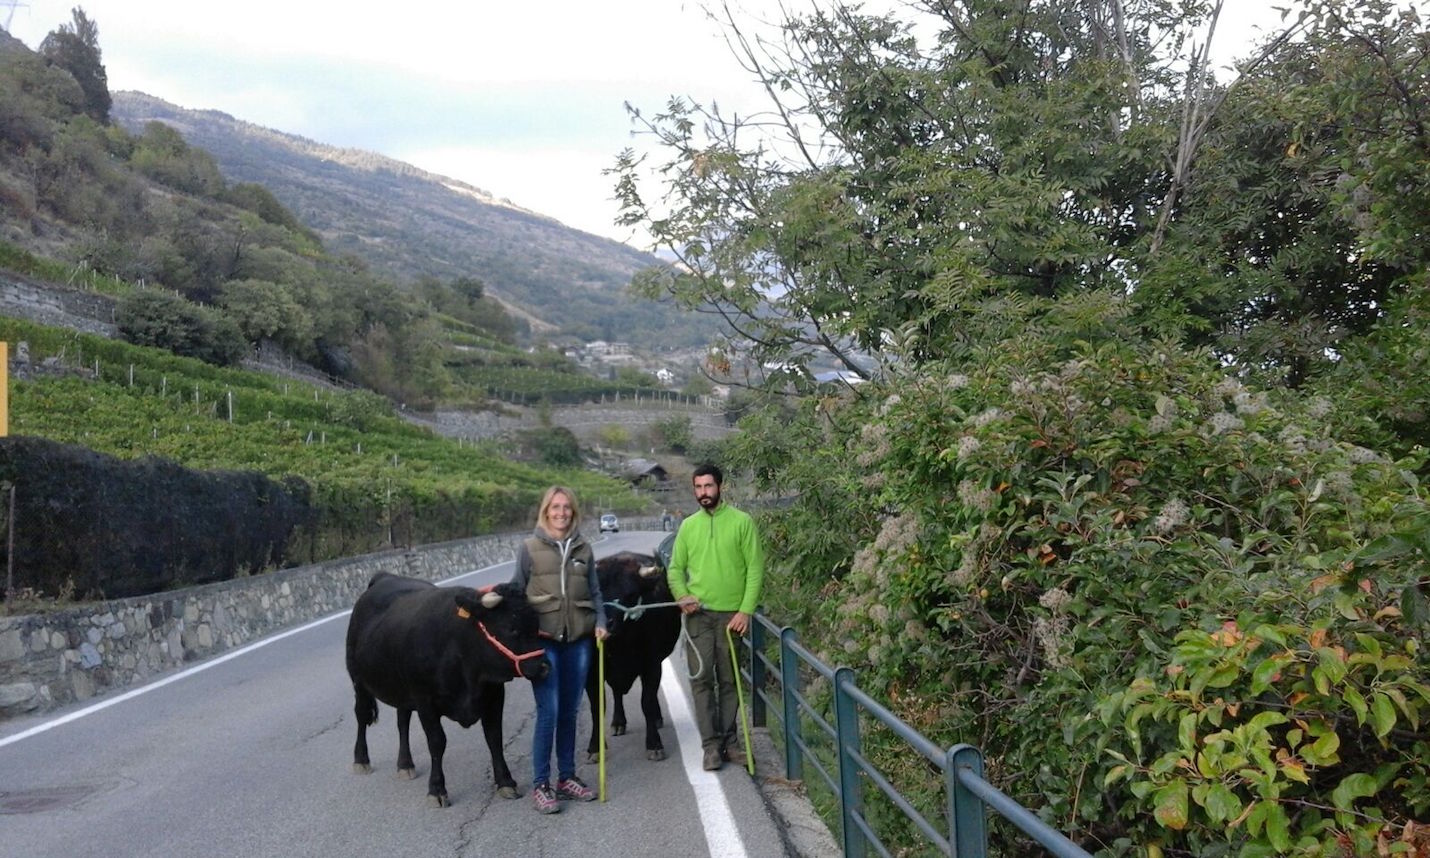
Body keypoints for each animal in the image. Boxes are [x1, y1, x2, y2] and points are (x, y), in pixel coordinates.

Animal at [346, 572, 550, 807]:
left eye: (536, 626)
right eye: (511, 628)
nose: (544, 667)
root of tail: (385, 576)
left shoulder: (494, 695)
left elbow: (494, 738)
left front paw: (506, 782)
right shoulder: (425, 702)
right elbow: (437, 742)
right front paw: (436, 789)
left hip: (402, 691)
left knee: (402, 722)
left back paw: (405, 764)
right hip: (359, 681)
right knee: (362, 716)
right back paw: (361, 760)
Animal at [585, 551, 681, 762]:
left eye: (629, 594)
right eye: (596, 592)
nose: (607, 624)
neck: (621, 645)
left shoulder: (652, 664)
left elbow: (647, 701)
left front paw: (654, 744)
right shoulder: (591, 671)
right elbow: (597, 707)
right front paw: (595, 748)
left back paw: (657, 718)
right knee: (617, 692)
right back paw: (618, 722)